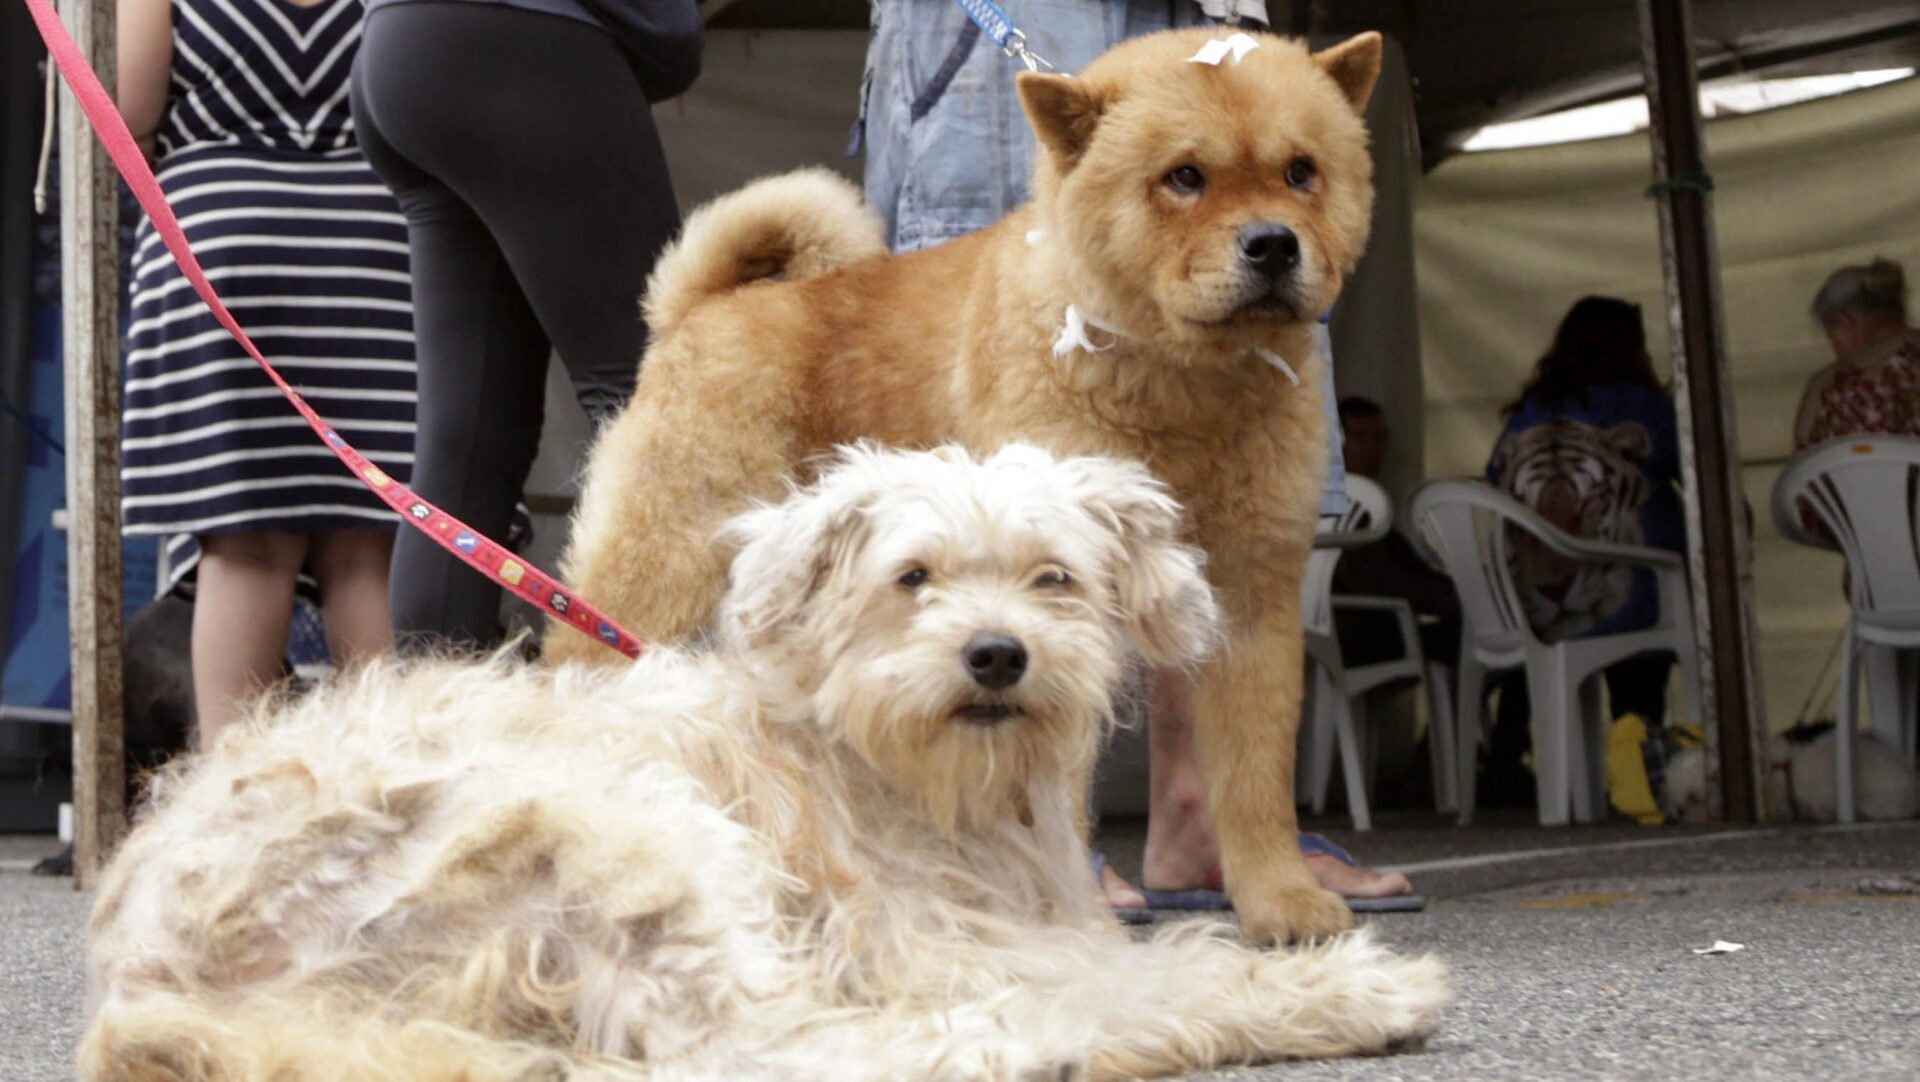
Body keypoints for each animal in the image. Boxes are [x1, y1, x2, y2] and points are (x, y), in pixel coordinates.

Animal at [82, 443, 1443, 1074]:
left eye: (1053, 576)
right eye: (913, 576)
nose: (997, 653)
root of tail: (146, 973)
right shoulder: (939, 941)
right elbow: (1163, 975)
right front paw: (1339, 989)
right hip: (625, 830)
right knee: (745, 1050)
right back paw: (1010, 1045)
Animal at [552, 29, 1382, 943]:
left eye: (1301, 171)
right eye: (1185, 177)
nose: (1273, 243)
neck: (1182, 389)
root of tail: (707, 305)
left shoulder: (1252, 594)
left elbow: (1253, 775)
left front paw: (1283, 903)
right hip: (666, 561)